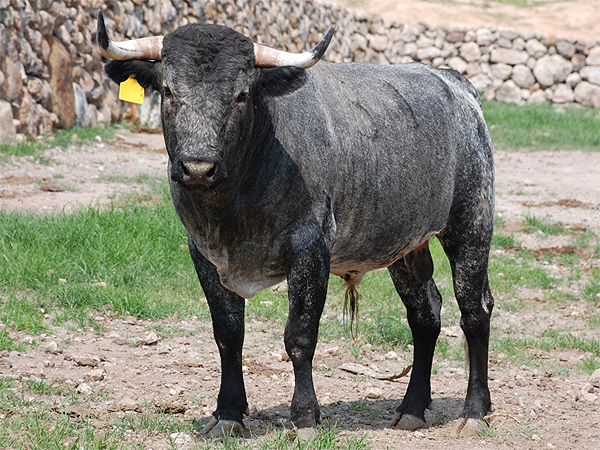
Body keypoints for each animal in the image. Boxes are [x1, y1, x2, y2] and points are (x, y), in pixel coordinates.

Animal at [97, 9, 495, 438]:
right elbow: (228, 334)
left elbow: (300, 335)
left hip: (472, 224)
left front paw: (304, 415)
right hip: (403, 246)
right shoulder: (203, 252)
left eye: (242, 94)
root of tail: (455, 83)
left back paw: (475, 411)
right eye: (168, 91)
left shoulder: (310, 248)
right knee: (425, 315)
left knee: (474, 311)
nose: (198, 168)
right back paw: (412, 409)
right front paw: (228, 414)